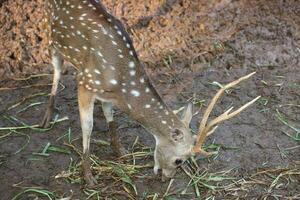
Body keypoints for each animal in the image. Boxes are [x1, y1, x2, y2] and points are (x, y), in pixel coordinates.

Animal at [43, 0, 262, 186]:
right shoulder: (85, 81)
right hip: (53, 37)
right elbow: (87, 127)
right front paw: (88, 177)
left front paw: (121, 152)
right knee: (56, 68)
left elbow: (109, 114)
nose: (166, 178)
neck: (122, 80)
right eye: (179, 160)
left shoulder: (108, 94)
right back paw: (46, 117)